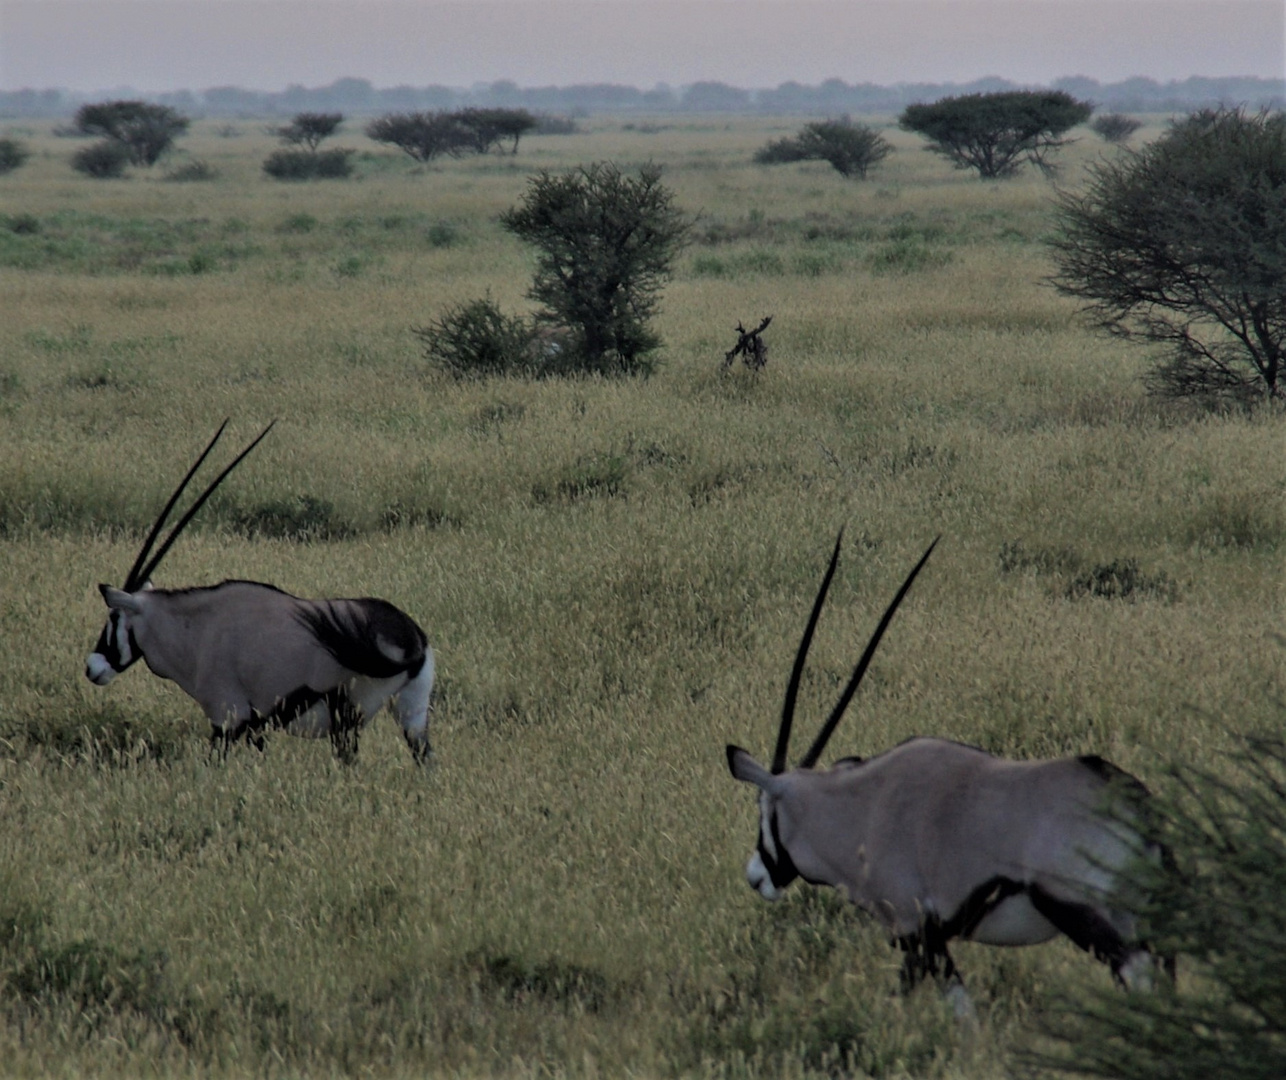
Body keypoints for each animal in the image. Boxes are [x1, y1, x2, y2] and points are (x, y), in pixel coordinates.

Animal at [88, 416, 437, 761]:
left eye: (113, 618)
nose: (92, 668)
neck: (197, 627)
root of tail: (412, 638)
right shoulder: (257, 728)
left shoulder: (227, 718)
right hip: (412, 714)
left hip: (348, 718)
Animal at [725, 534, 1167, 1018]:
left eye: (764, 812)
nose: (755, 876)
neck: (861, 809)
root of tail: (1136, 806)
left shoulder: (916, 929)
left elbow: (949, 1006)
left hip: (1083, 913)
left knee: (1137, 972)